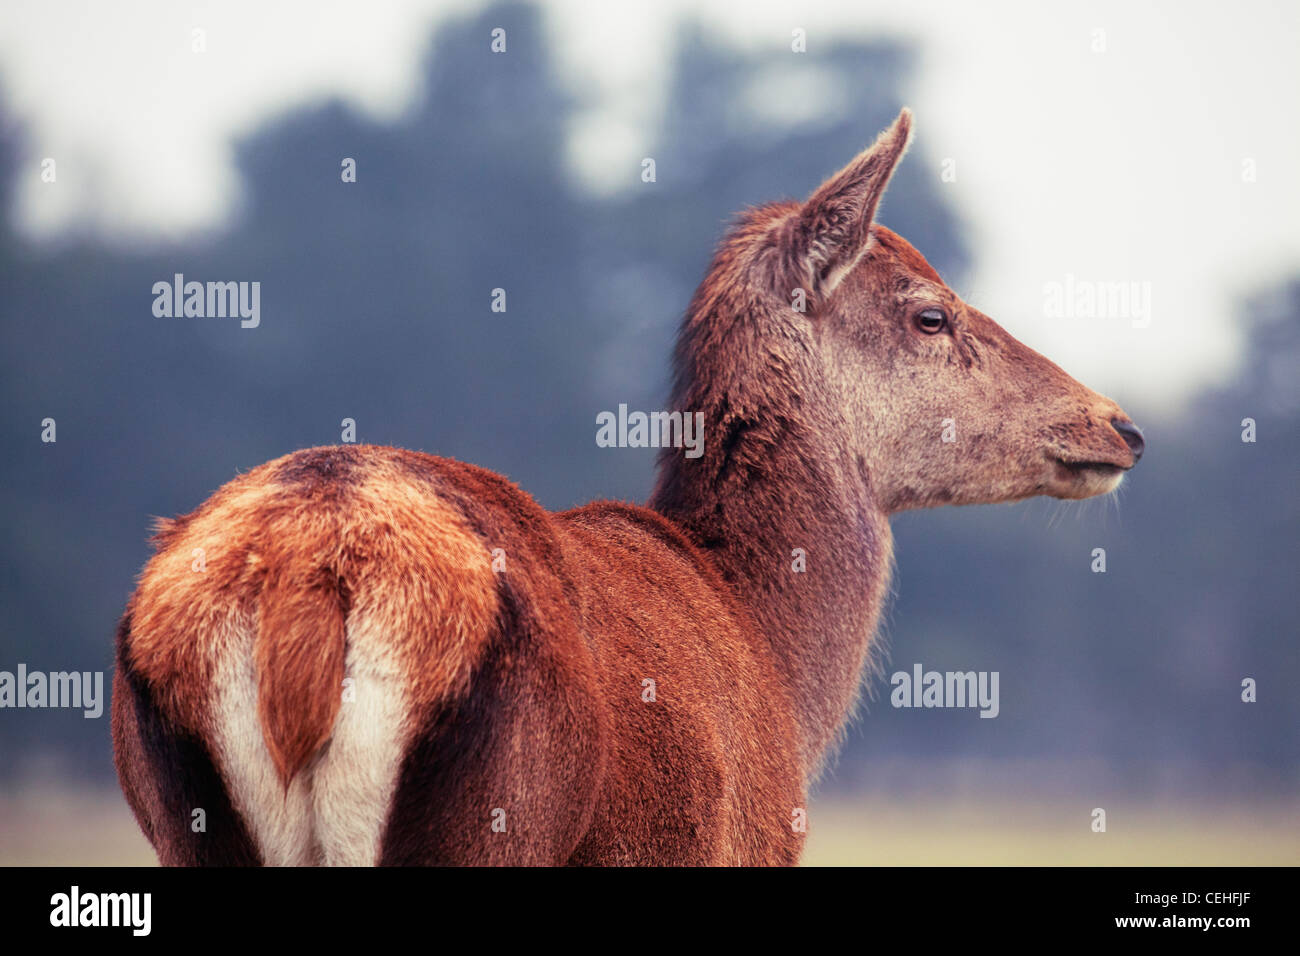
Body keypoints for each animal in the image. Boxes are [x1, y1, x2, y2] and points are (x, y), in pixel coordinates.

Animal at [114, 111, 1149, 868]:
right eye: (930, 315)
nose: (1119, 425)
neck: (776, 666)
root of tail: (308, 578)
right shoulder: (744, 845)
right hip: (494, 825)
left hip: (185, 832)